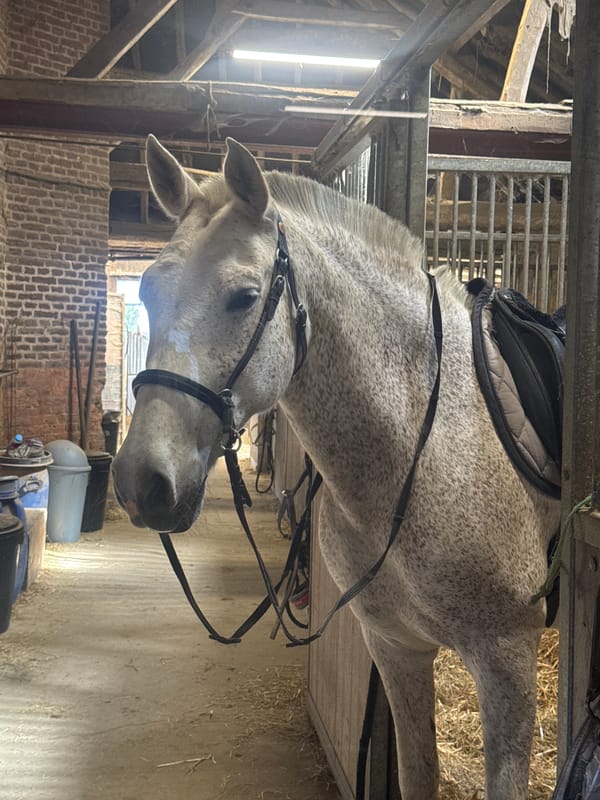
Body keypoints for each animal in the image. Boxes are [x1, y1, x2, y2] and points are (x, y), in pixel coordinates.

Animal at [112, 135, 559, 800]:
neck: (427, 445)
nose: (142, 482)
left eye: (245, 297)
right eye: (145, 291)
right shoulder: (397, 648)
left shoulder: (507, 658)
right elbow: (418, 775)